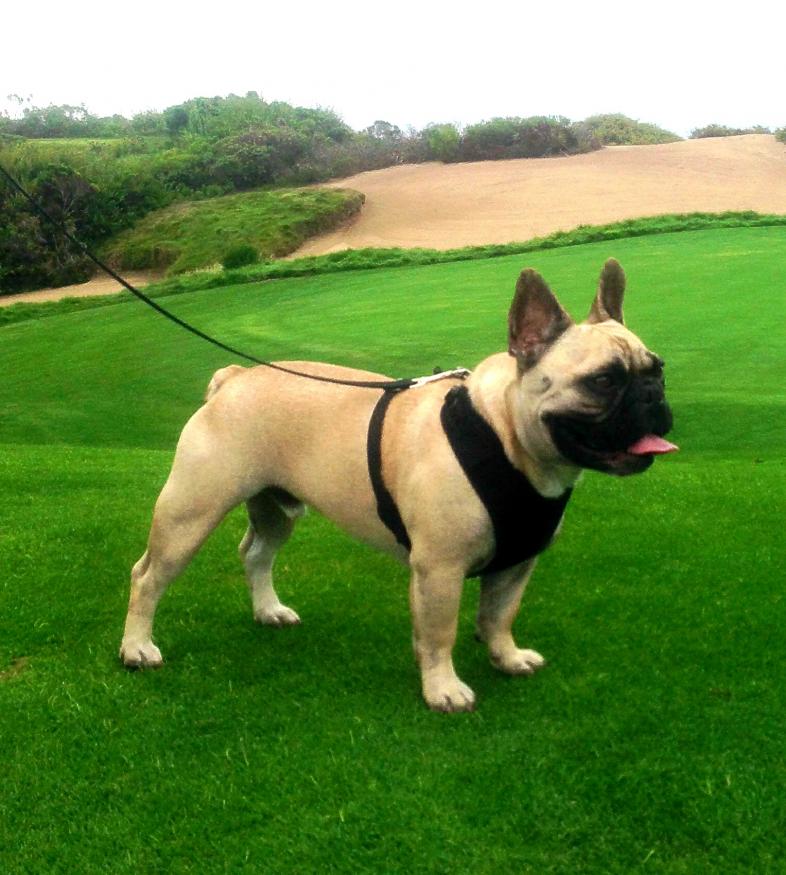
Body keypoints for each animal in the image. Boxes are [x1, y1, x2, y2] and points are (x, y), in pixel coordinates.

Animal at [121, 258, 672, 712]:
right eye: (602, 380)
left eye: (658, 370)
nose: (652, 396)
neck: (507, 438)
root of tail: (233, 378)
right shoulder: (439, 570)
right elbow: (440, 632)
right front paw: (443, 689)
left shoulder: (517, 562)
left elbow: (499, 616)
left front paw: (507, 657)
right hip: (190, 511)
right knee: (148, 576)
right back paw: (137, 648)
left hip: (277, 508)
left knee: (256, 553)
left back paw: (268, 611)